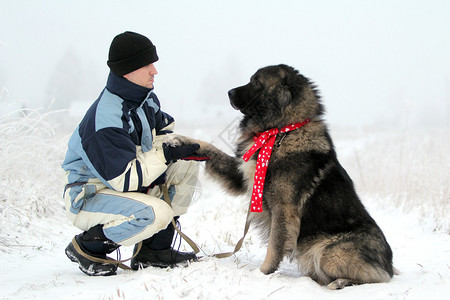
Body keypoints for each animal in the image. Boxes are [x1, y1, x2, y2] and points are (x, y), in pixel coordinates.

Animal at [167, 64, 392, 290]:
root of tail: (388, 263)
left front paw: (262, 273)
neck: (281, 131)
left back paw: (340, 282)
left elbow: (274, 247)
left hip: (328, 251)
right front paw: (181, 140)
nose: (229, 92)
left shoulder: (283, 209)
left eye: (256, 82)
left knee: (377, 276)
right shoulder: (242, 175)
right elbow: (210, 149)